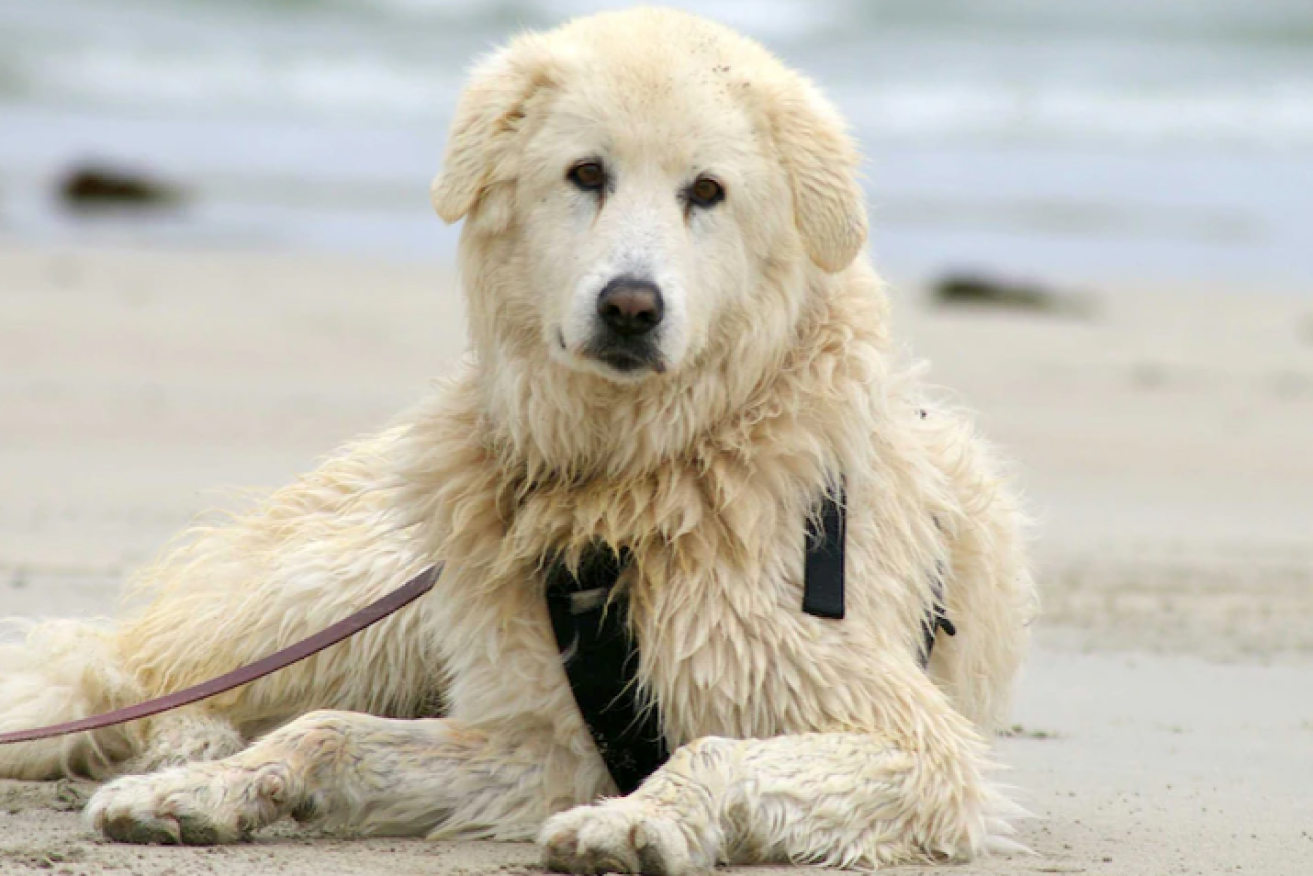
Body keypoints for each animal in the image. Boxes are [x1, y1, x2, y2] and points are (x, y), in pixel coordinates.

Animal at [0, 8, 1034, 876]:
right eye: (586, 174)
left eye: (707, 191)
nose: (630, 306)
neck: (631, 477)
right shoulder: (539, 727)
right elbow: (329, 732)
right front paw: (213, 788)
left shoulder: (908, 746)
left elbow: (712, 750)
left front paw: (639, 820)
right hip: (366, 599)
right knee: (150, 673)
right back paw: (186, 758)